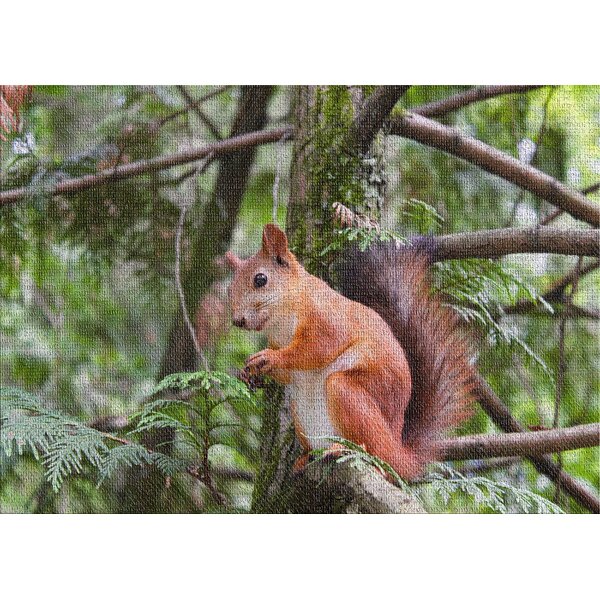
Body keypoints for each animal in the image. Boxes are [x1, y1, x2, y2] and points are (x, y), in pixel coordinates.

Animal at [223, 223, 476, 480]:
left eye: (260, 279)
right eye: (229, 289)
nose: (238, 321)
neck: (282, 319)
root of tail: (401, 455)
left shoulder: (327, 318)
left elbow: (317, 348)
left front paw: (271, 358)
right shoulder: (278, 341)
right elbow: (287, 374)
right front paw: (250, 373)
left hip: (351, 397)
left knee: (373, 450)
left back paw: (347, 449)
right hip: (301, 414)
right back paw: (306, 457)